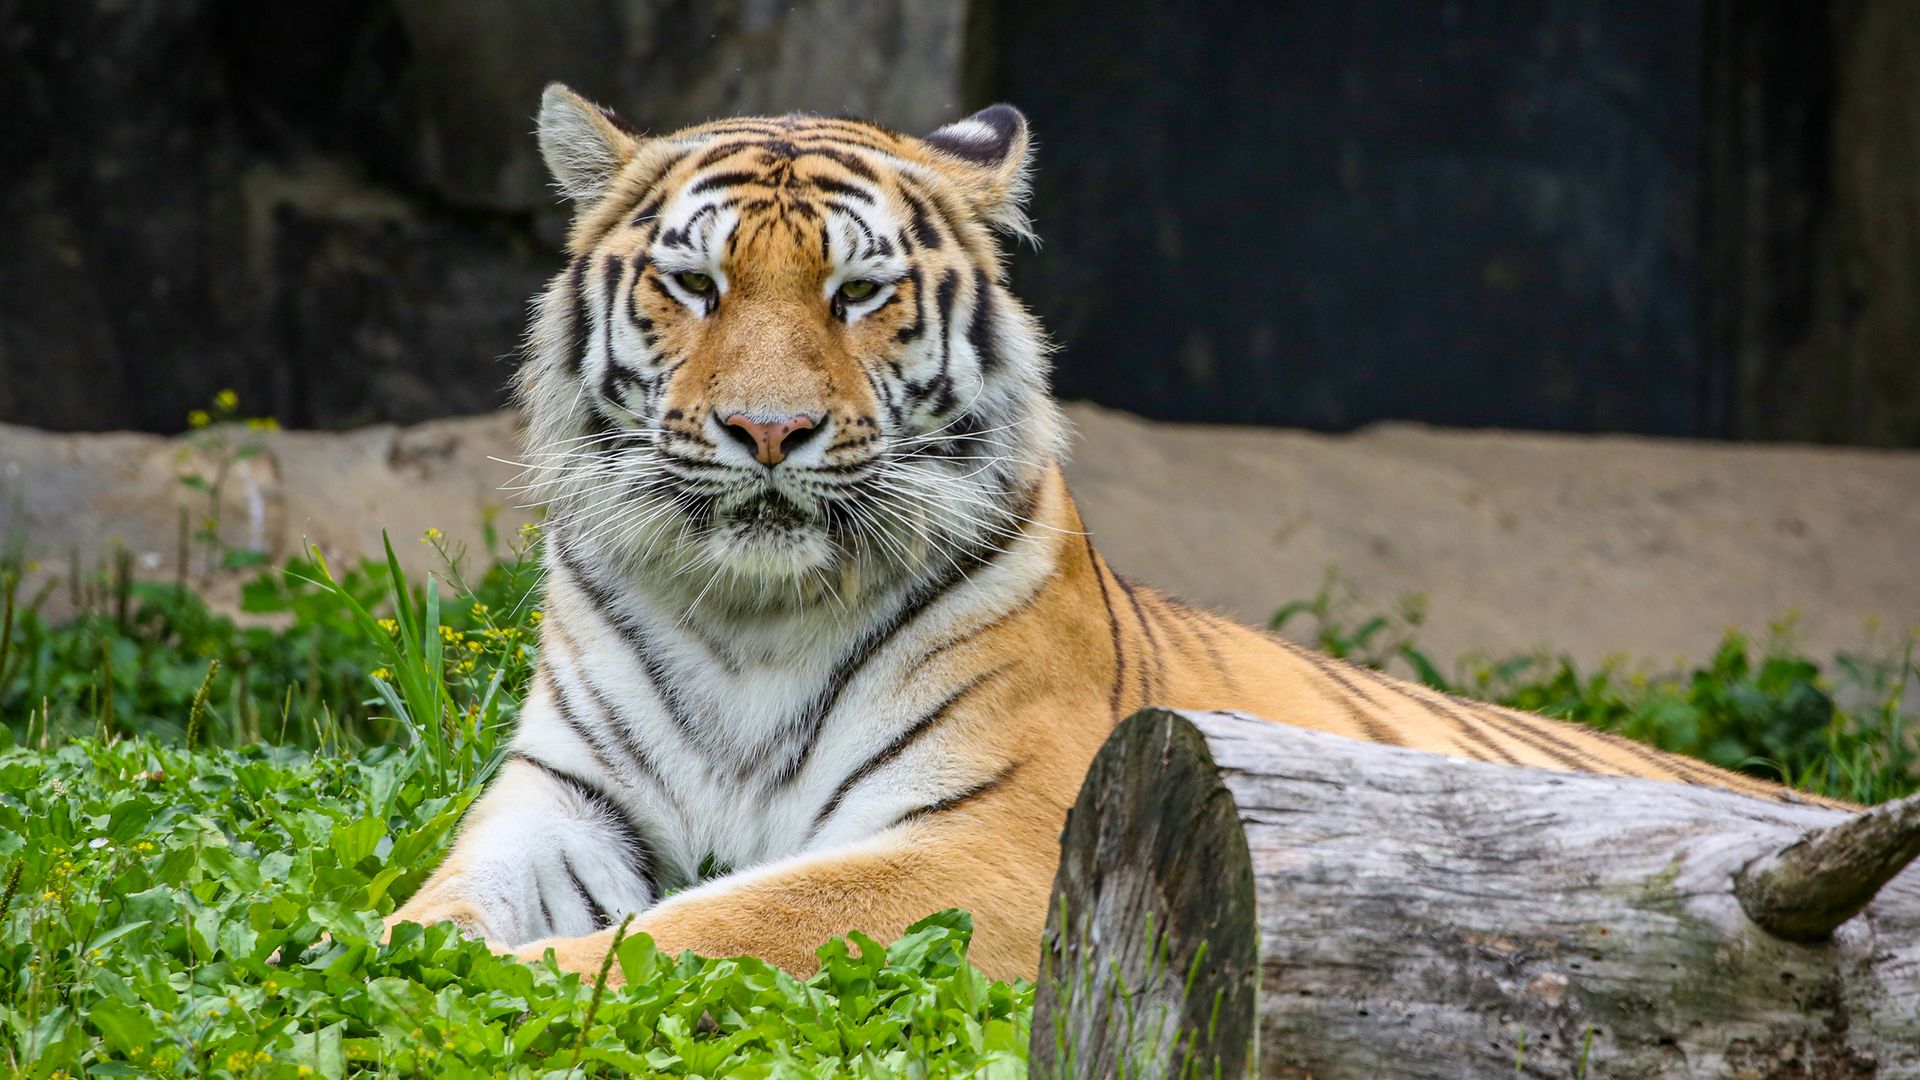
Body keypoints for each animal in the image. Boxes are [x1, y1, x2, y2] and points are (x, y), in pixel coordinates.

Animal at [387, 83, 1821, 983]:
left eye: (858, 293)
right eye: (693, 283)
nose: (768, 430)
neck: (752, 614)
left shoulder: (993, 839)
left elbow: (705, 929)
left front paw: (534, 980)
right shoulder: (565, 801)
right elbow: (429, 910)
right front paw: (380, 953)